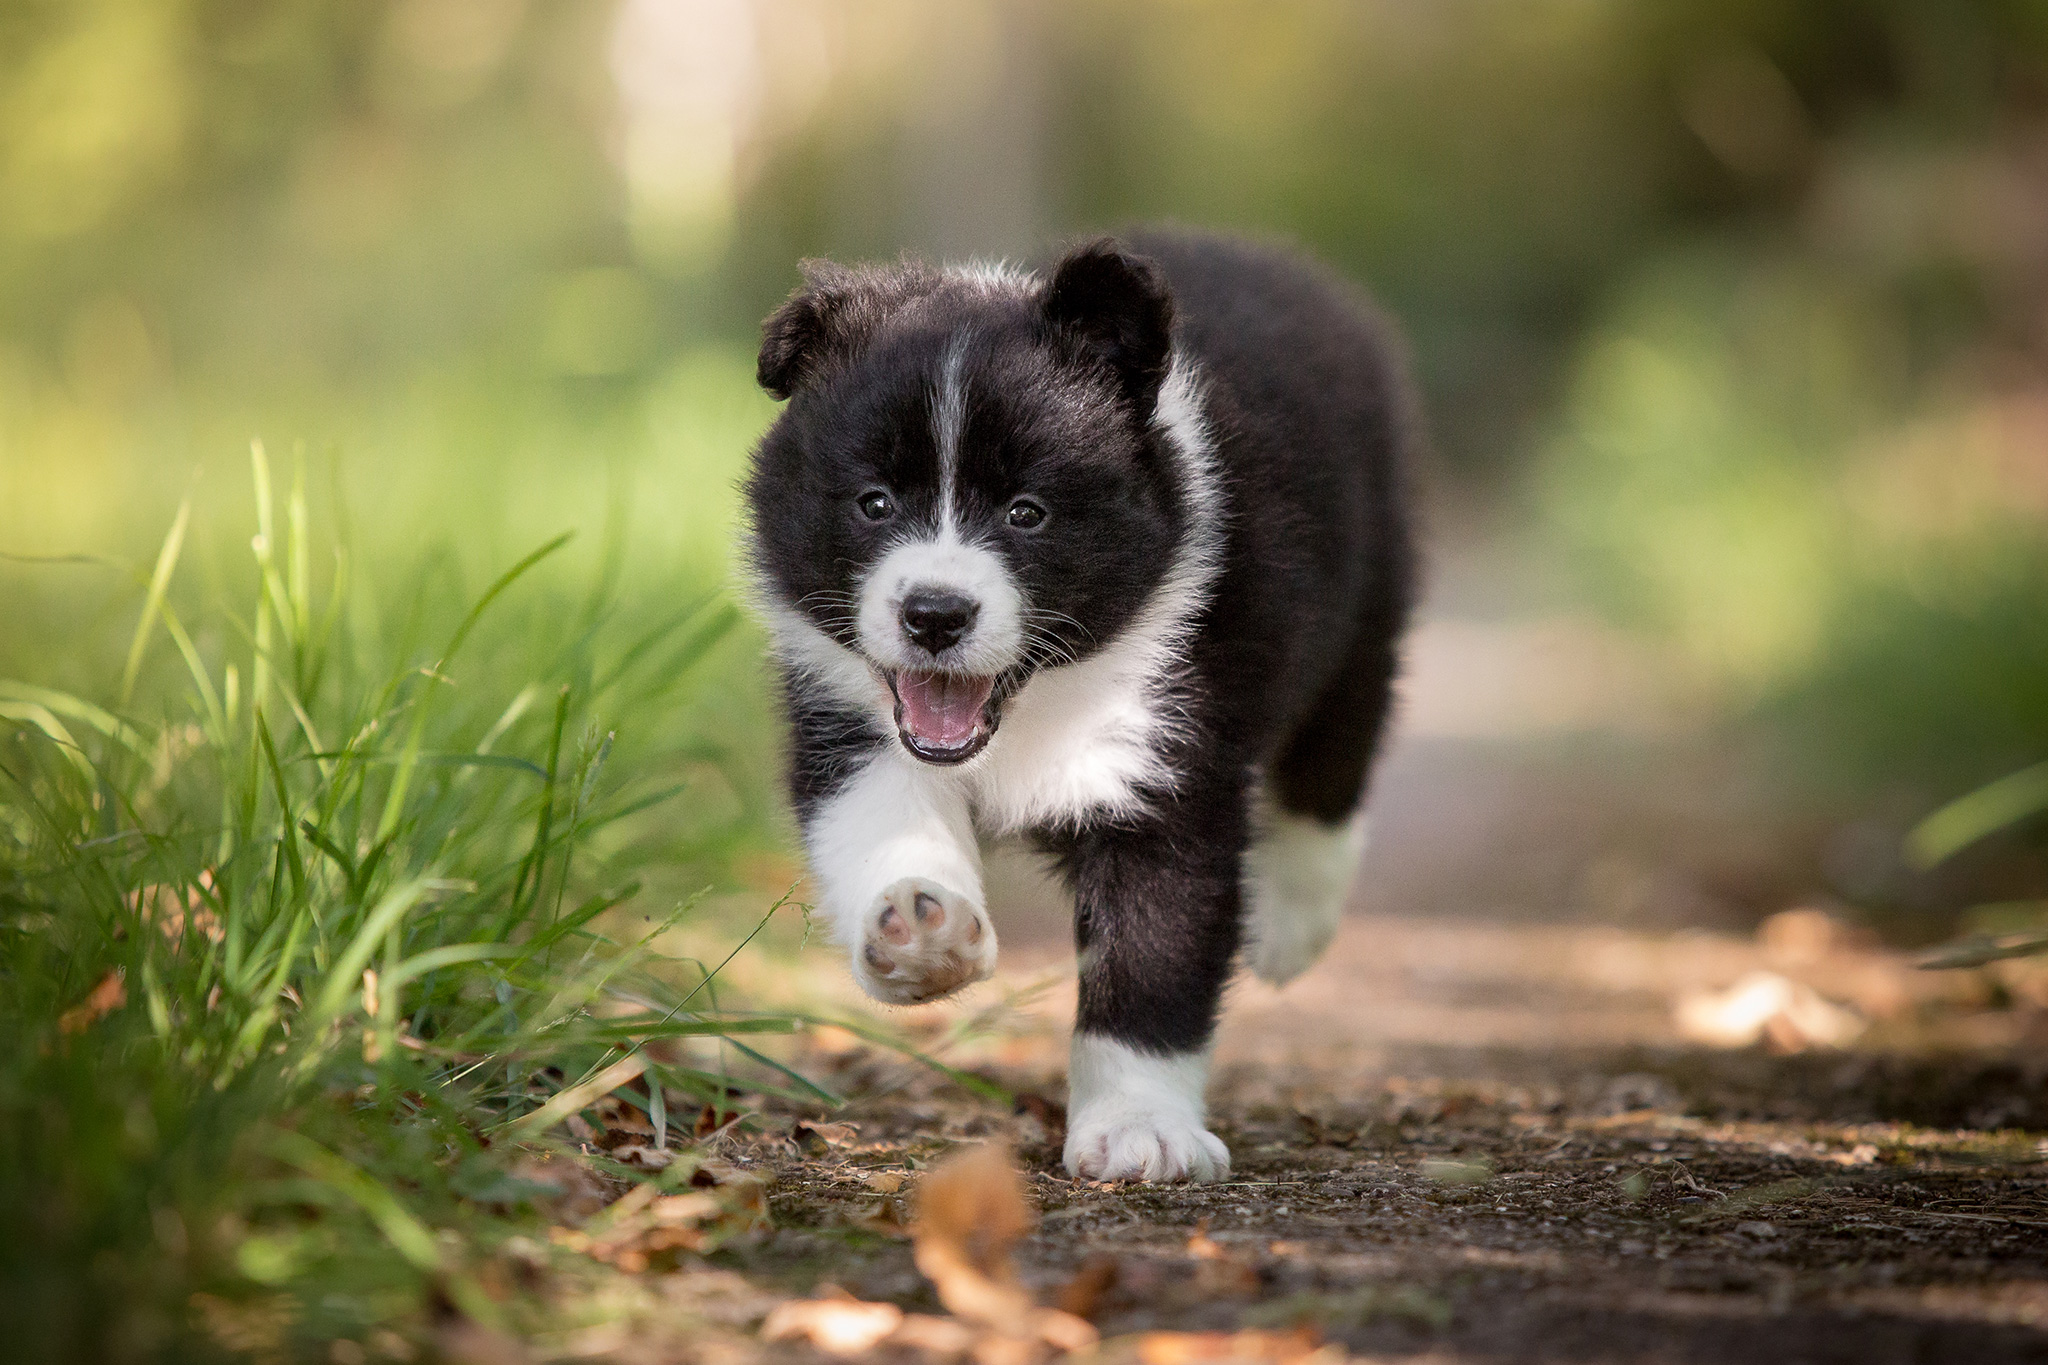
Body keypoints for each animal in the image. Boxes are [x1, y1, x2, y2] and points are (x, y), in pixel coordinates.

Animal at [745, 229, 1417, 1178]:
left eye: (1028, 513)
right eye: (873, 502)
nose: (934, 615)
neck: (1035, 704)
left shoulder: (1168, 766)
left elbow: (1153, 956)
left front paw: (1142, 1128)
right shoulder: (848, 720)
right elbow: (878, 819)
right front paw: (919, 928)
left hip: (1368, 600)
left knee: (1336, 753)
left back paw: (1292, 923)